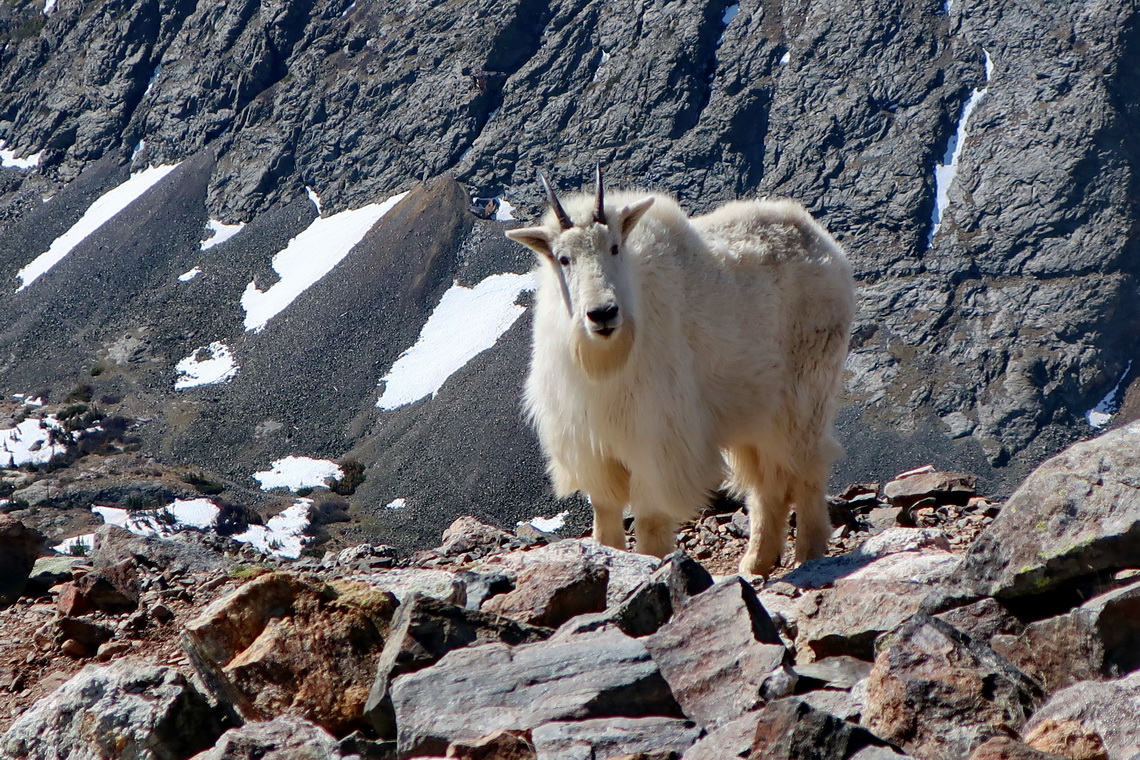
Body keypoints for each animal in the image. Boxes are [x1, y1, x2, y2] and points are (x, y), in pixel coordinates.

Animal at [508, 169, 857, 574]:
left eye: (615, 247)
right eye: (563, 259)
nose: (603, 314)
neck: (604, 361)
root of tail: (825, 245)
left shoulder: (659, 439)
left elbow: (650, 519)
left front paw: (652, 566)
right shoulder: (592, 444)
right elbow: (605, 513)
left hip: (806, 395)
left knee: (807, 472)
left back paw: (808, 555)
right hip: (755, 415)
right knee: (767, 485)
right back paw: (755, 563)